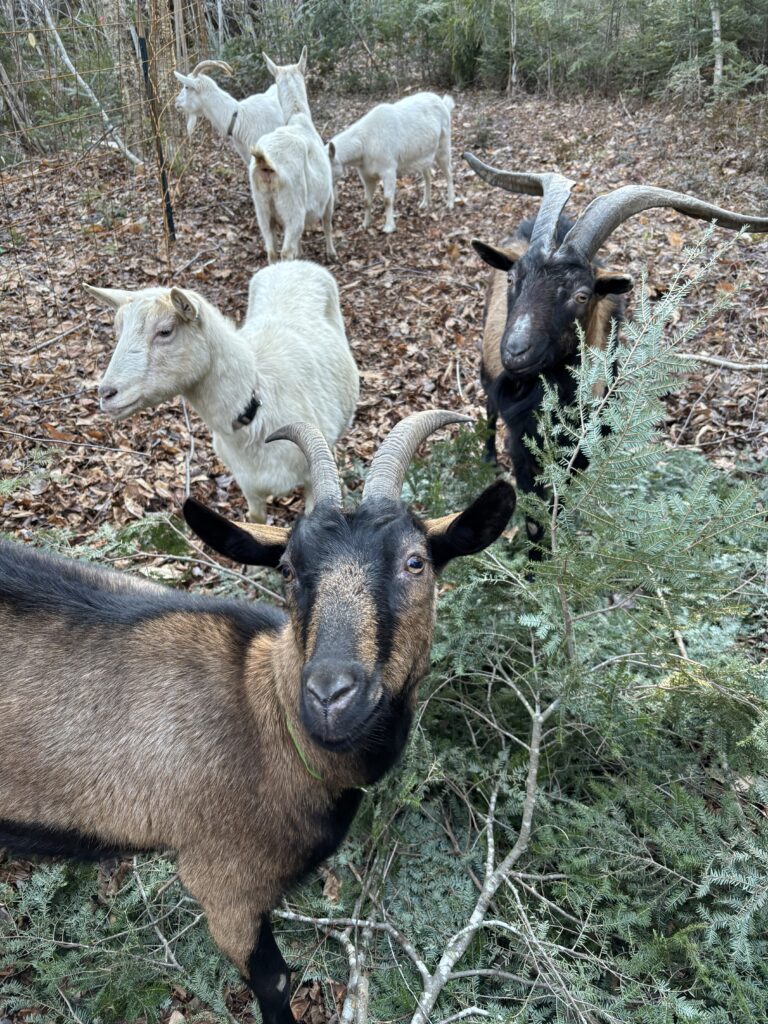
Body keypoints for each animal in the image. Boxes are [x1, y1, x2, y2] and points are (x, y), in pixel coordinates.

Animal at [0, 411, 516, 1024]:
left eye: (416, 562)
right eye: (288, 568)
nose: (329, 696)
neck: (264, 717)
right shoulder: (224, 881)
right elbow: (274, 979)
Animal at [85, 260, 358, 522]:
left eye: (165, 331)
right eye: (118, 332)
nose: (106, 393)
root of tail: (292, 263)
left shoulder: (312, 483)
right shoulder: (248, 485)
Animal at [249, 48, 335, 263]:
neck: (299, 117)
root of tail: (265, 162)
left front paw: (301, 252)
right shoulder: (328, 194)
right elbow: (327, 223)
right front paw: (331, 253)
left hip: (262, 210)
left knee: (271, 250)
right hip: (293, 207)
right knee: (285, 251)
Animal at [328, 92, 455, 233]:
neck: (365, 145)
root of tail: (444, 103)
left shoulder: (388, 169)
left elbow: (387, 199)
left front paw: (388, 227)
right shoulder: (366, 175)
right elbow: (366, 201)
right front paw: (365, 224)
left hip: (444, 144)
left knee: (449, 172)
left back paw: (450, 203)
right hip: (424, 154)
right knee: (427, 175)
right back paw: (425, 203)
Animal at [466, 153, 768, 553]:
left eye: (581, 295)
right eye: (514, 279)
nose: (516, 351)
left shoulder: (582, 452)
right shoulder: (523, 447)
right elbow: (533, 519)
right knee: (487, 406)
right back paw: (487, 458)